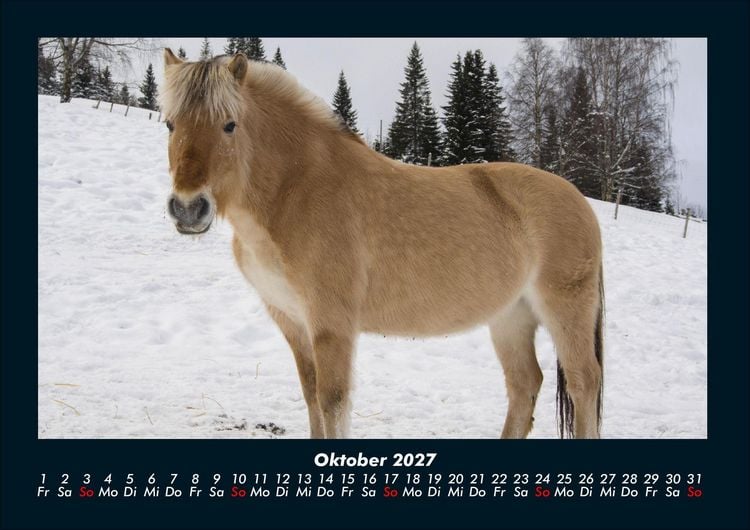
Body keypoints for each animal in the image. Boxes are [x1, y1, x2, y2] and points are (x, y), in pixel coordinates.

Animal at [160, 48, 605, 439]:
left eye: (229, 124)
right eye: (170, 124)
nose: (188, 209)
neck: (298, 190)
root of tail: (578, 200)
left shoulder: (332, 326)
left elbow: (332, 402)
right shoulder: (292, 321)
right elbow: (310, 396)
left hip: (565, 310)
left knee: (584, 382)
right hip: (511, 316)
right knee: (524, 384)